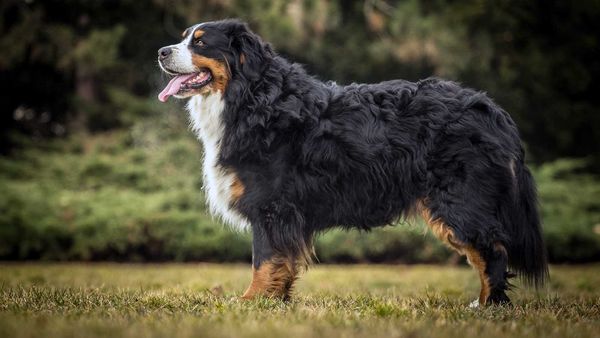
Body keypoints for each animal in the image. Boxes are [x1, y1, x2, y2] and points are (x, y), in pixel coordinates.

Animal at [156, 18, 548, 306]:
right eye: (184, 38)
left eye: (200, 43)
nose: (161, 51)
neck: (254, 98)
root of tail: (490, 108)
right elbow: (281, 263)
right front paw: (276, 301)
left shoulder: (271, 206)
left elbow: (265, 259)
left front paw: (252, 301)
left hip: (459, 201)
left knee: (492, 252)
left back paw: (487, 306)